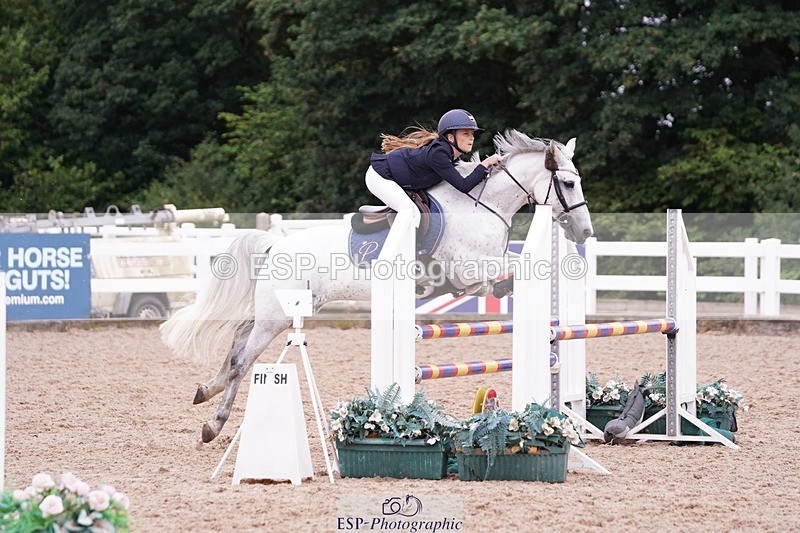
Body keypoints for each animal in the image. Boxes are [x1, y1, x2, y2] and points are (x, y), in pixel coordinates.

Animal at [160, 129, 593, 443]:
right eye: (568, 183)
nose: (584, 232)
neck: (480, 206)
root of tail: (275, 245)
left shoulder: (469, 277)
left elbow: (501, 279)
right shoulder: (468, 269)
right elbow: (513, 267)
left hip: (280, 311)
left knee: (238, 338)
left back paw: (206, 390)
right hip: (276, 316)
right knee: (242, 360)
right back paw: (213, 425)